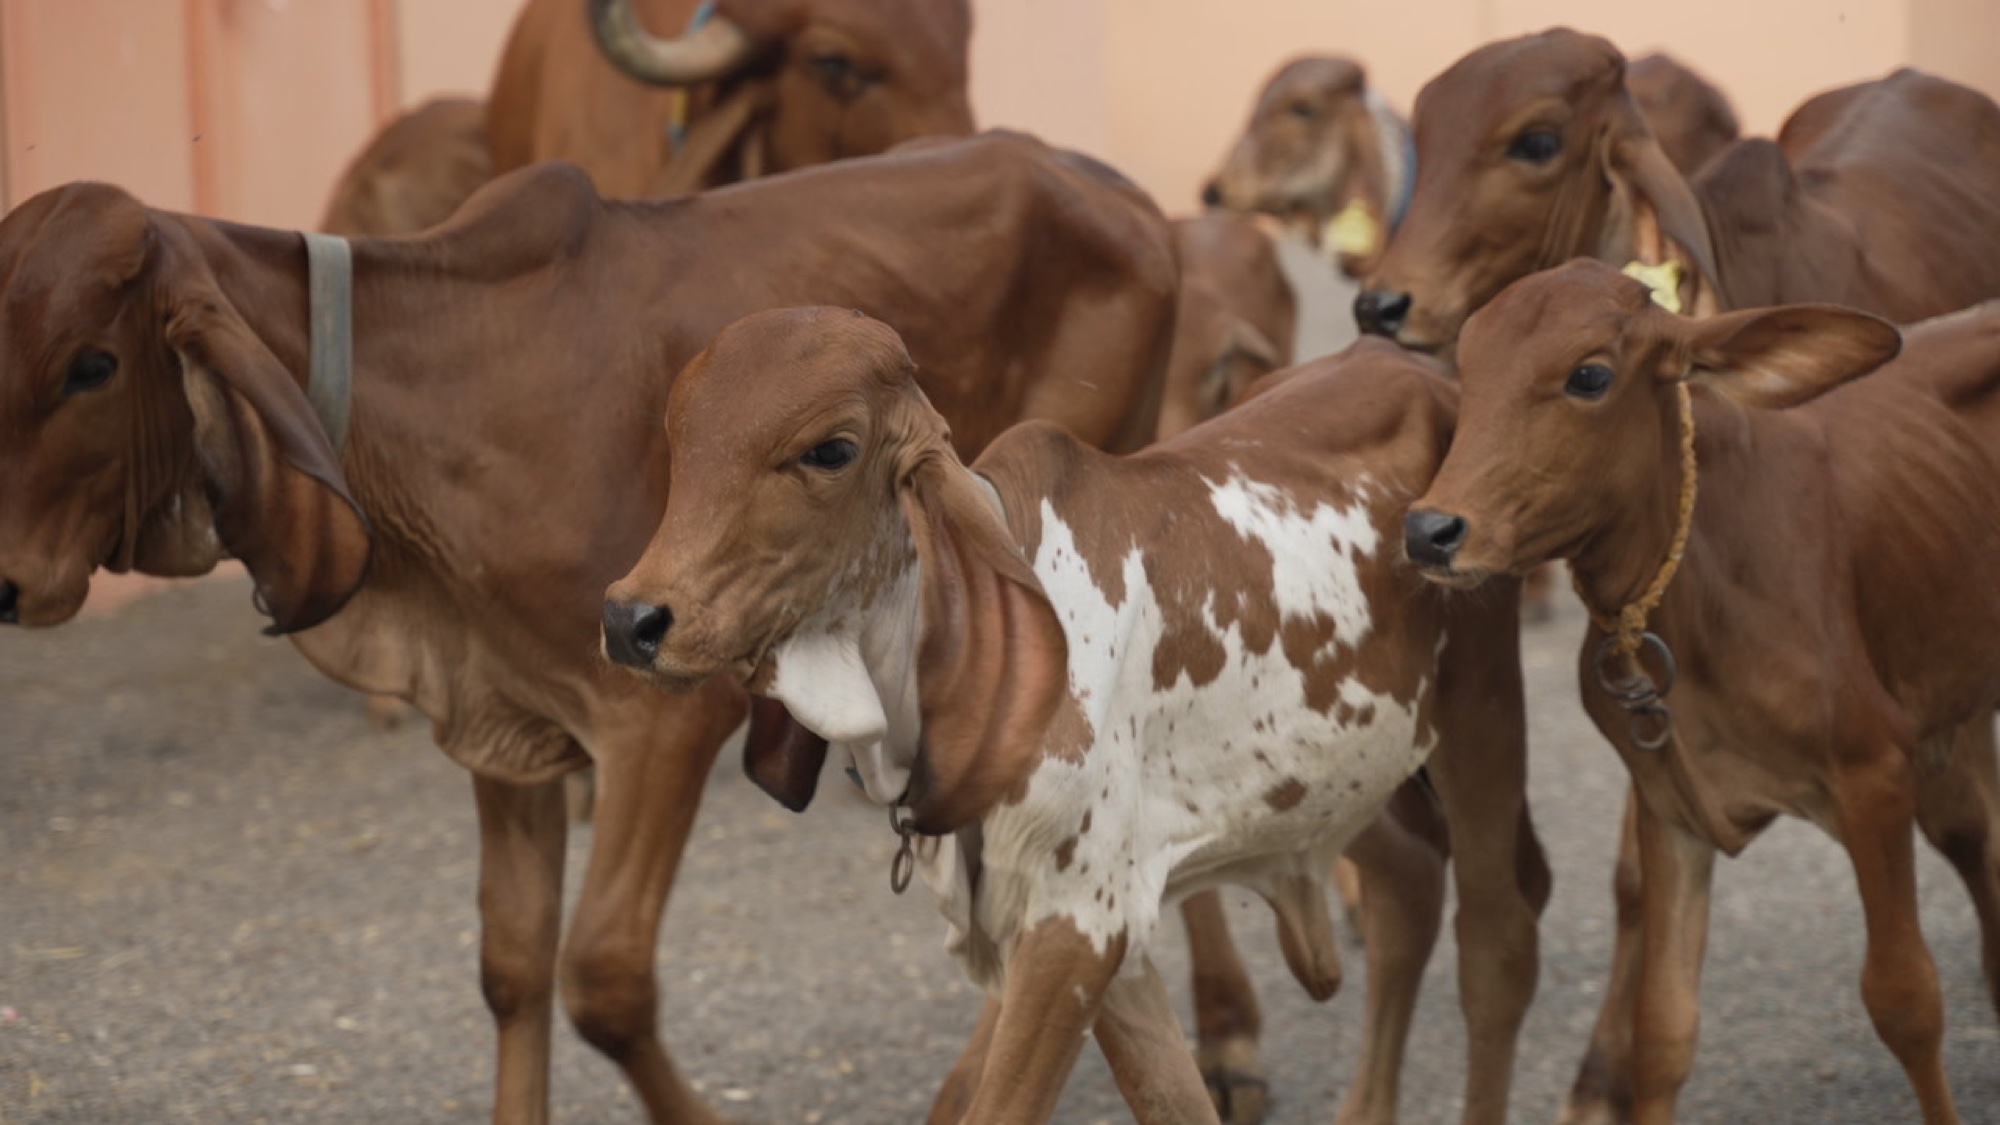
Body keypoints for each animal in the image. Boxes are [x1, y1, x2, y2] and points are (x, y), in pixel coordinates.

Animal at [0, 132, 1177, 1125]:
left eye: (93, 364)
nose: (7, 585)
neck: (432, 401)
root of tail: (1114, 189)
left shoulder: (659, 717)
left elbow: (603, 977)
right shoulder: (504, 724)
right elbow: (513, 964)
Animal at [601, 309, 1548, 1125]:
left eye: (830, 449)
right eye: (680, 441)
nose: (633, 618)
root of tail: (1417, 369)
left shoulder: (1076, 925)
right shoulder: (1106, 939)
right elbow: (1174, 1100)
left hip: (1480, 709)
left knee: (1497, 941)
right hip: (1332, 776)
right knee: (1408, 879)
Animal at [1404, 259, 2000, 1125]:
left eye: (1590, 375)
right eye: (1470, 363)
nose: (1430, 531)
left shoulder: (1875, 775)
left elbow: (1905, 998)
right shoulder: (1671, 806)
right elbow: (1663, 1029)